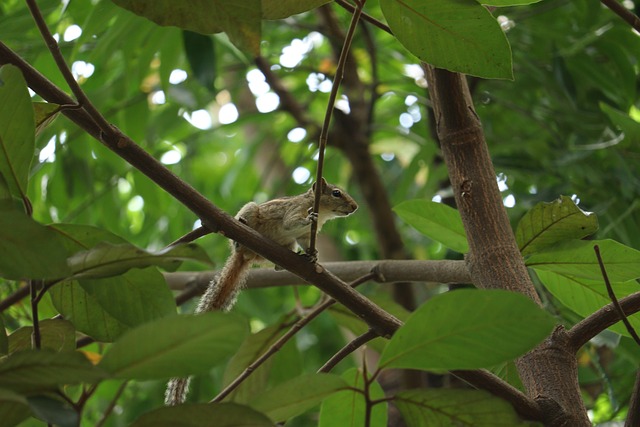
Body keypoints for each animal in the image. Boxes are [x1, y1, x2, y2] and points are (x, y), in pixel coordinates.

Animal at [162, 179, 358, 406]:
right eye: (336, 193)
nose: (355, 207)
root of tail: (247, 255)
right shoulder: (294, 211)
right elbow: (290, 223)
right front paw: (309, 218)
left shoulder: (302, 237)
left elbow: (304, 240)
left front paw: (313, 254)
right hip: (250, 210)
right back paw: (240, 235)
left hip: (286, 246)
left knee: (278, 265)